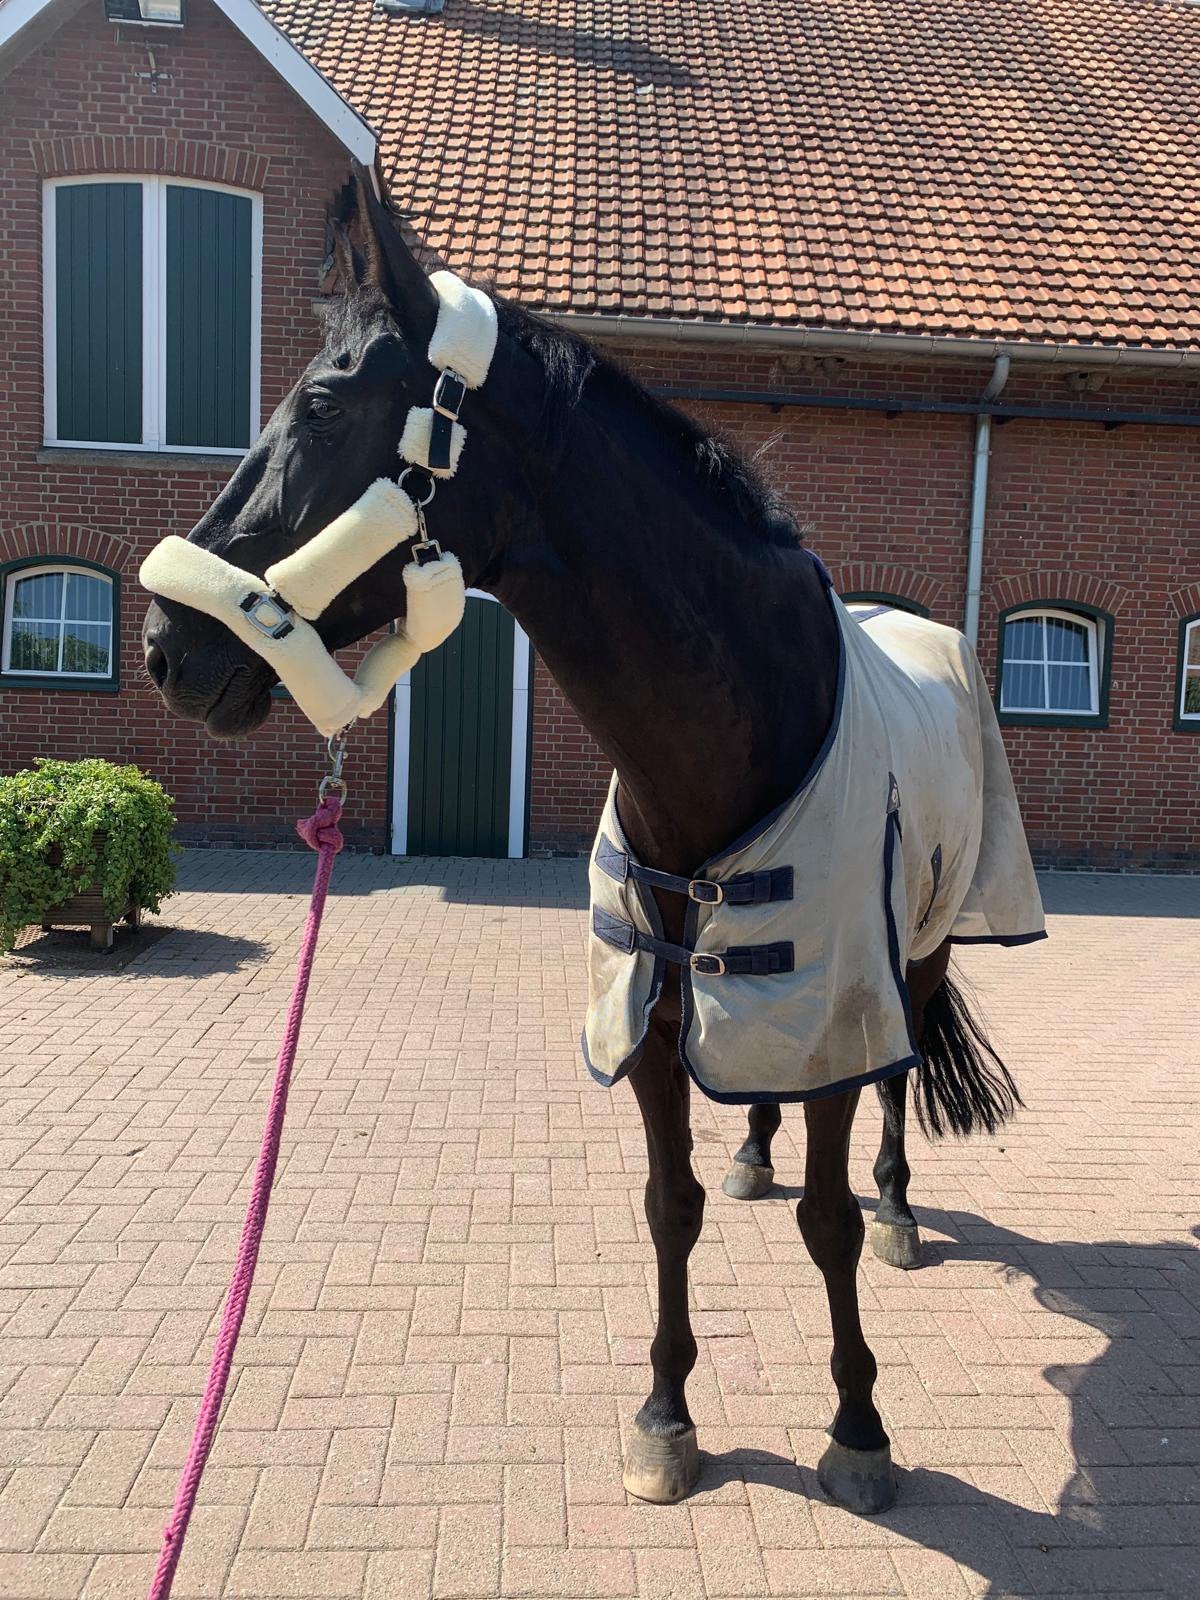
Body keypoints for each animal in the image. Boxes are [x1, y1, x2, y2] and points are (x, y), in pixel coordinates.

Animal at [141, 175, 1039, 1516]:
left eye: (327, 403)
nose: (167, 647)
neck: (738, 727)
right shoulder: (653, 1016)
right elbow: (670, 1205)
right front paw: (666, 1415)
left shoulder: (839, 1001)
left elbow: (827, 1220)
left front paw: (858, 1425)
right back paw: (757, 1157)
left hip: (918, 954)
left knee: (892, 1093)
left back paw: (897, 1210)